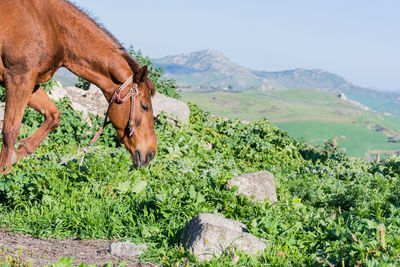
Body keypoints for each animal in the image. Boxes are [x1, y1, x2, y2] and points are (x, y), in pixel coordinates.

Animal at [0, 0, 157, 172]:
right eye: (144, 106)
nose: (151, 154)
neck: (51, 26)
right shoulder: (18, 79)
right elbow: (10, 131)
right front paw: (5, 172)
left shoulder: (31, 83)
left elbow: (53, 116)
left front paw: (18, 153)